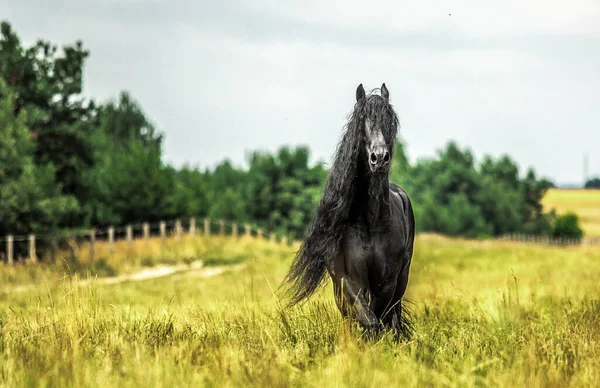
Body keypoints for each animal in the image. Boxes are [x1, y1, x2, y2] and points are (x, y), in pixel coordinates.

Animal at [280, 84, 412, 336]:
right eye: (361, 121)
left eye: (390, 120)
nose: (379, 158)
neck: (372, 221)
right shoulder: (348, 279)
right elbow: (367, 320)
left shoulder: (387, 282)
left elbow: (378, 318)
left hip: (401, 280)